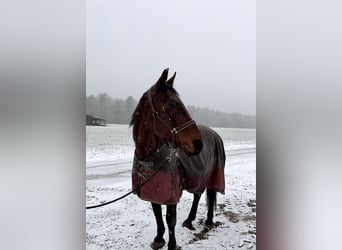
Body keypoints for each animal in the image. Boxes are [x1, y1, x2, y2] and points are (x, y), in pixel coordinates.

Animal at [130, 67, 226, 249]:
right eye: (171, 104)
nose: (198, 143)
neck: (151, 158)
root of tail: (215, 133)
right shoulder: (153, 190)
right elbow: (157, 215)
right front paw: (159, 238)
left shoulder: (171, 194)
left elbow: (170, 220)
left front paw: (172, 244)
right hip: (199, 175)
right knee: (198, 195)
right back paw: (189, 220)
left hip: (213, 174)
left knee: (210, 194)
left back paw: (208, 220)